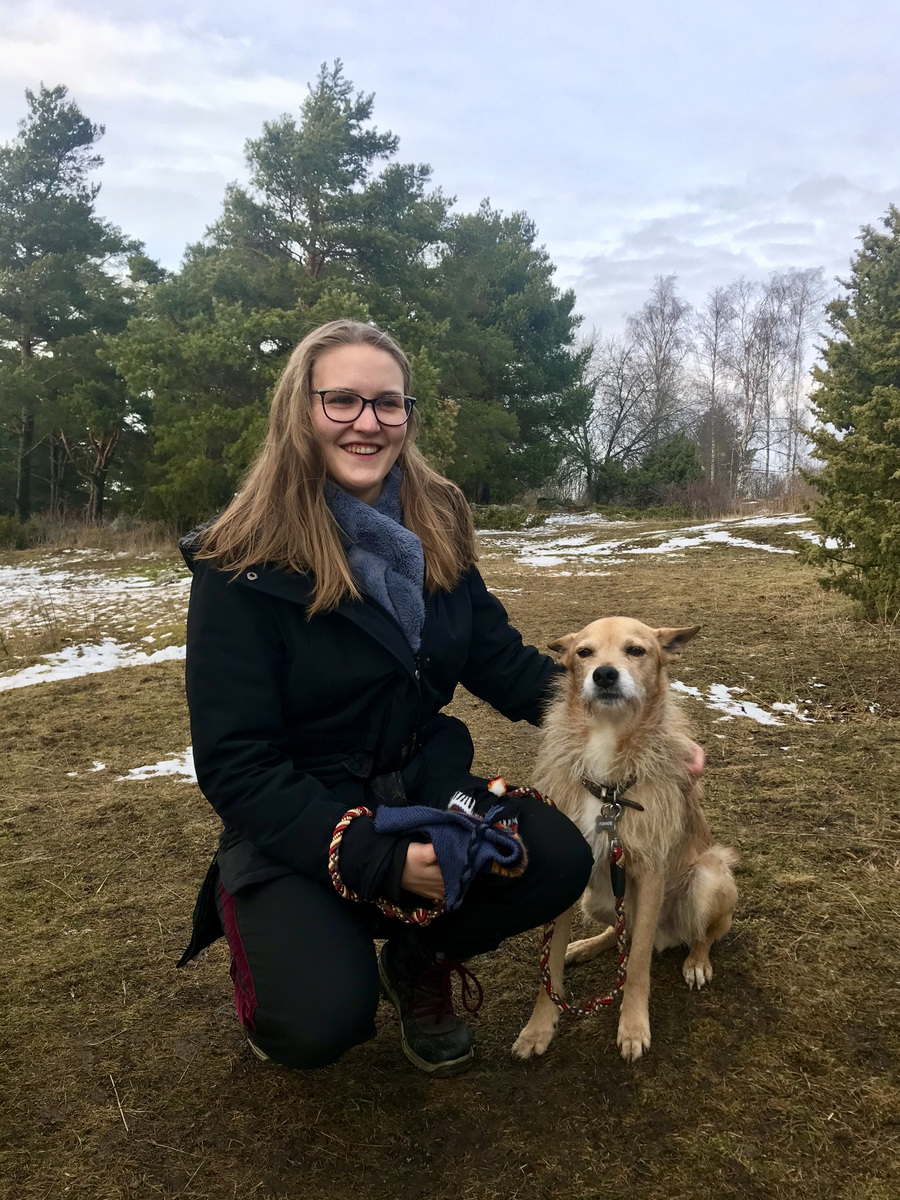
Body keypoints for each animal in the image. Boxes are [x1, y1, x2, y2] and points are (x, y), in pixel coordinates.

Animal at [513, 619, 739, 1060]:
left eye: (636, 650)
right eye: (584, 653)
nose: (604, 674)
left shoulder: (651, 872)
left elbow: (635, 967)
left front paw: (633, 1027)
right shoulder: (571, 875)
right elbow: (550, 967)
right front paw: (538, 1027)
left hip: (709, 876)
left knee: (692, 936)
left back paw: (697, 962)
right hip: (596, 896)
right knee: (623, 931)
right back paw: (586, 946)